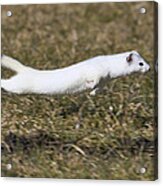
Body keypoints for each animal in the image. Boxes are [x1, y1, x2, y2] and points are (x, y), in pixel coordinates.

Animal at [0, 50, 150, 95]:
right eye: (141, 63)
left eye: (144, 60)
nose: (149, 68)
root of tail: (25, 69)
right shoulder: (97, 70)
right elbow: (94, 78)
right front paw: (90, 85)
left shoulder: (105, 80)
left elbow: (99, 87)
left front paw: (93, 92)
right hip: (19, 86)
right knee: (7, 83)